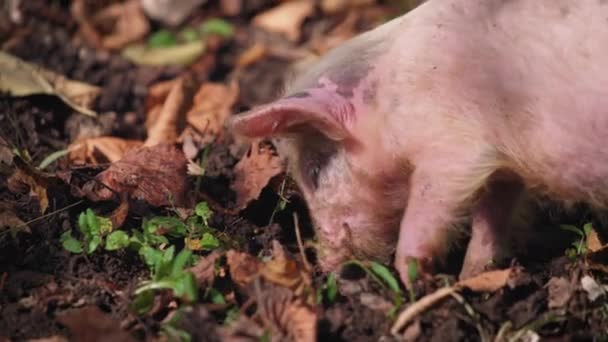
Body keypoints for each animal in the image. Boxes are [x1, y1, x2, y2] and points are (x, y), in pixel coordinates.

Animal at [229, 0, 608, 284]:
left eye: (315, 171)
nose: (328, 268)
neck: (390, 98)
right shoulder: (503, 168)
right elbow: (491, 216)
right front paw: (472, 276)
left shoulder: (453, 144)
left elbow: (427, 205)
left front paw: (413, 277)